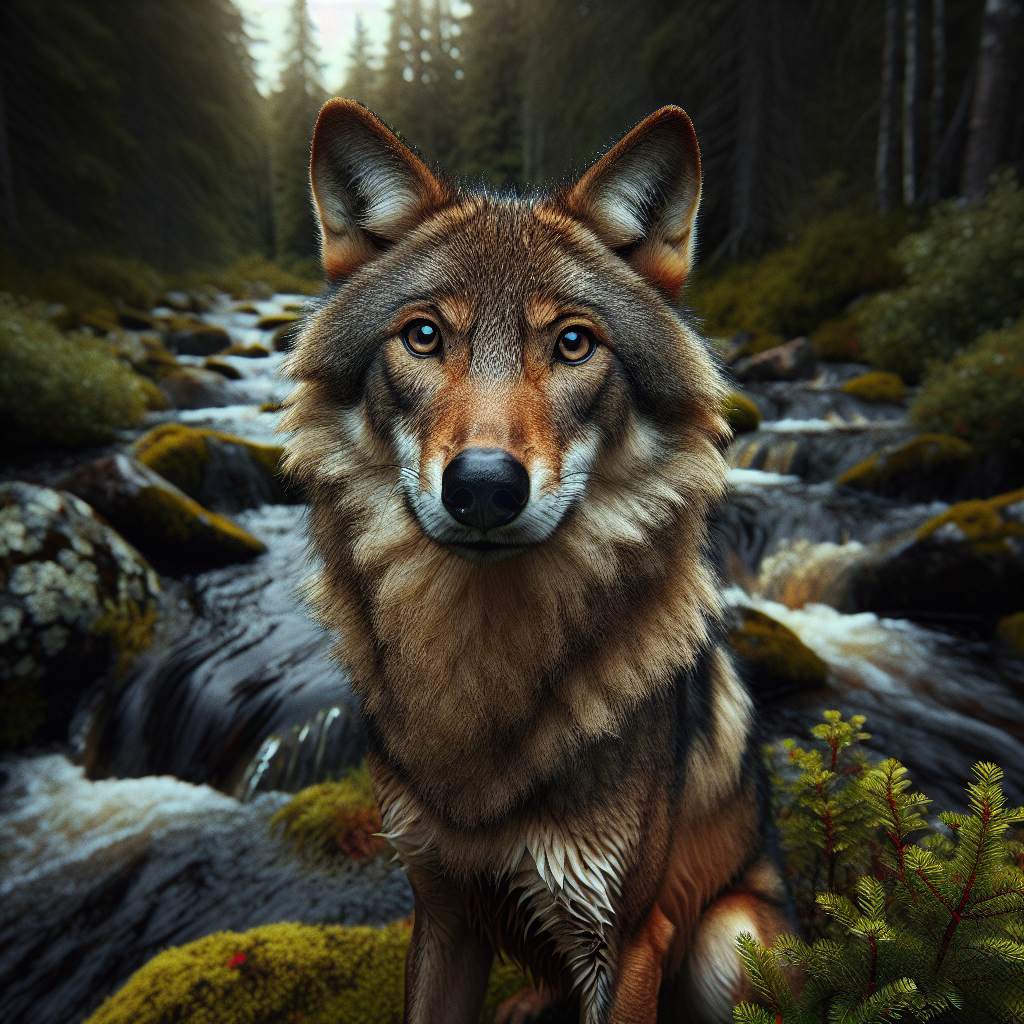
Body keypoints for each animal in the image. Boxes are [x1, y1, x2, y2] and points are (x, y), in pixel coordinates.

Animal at [281, 99, 796, 1023]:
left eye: (573, 344)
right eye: (423, 336)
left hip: (727, 939)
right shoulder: (441, 911)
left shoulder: (626, 941)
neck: (481, 668)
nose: (484, 487)